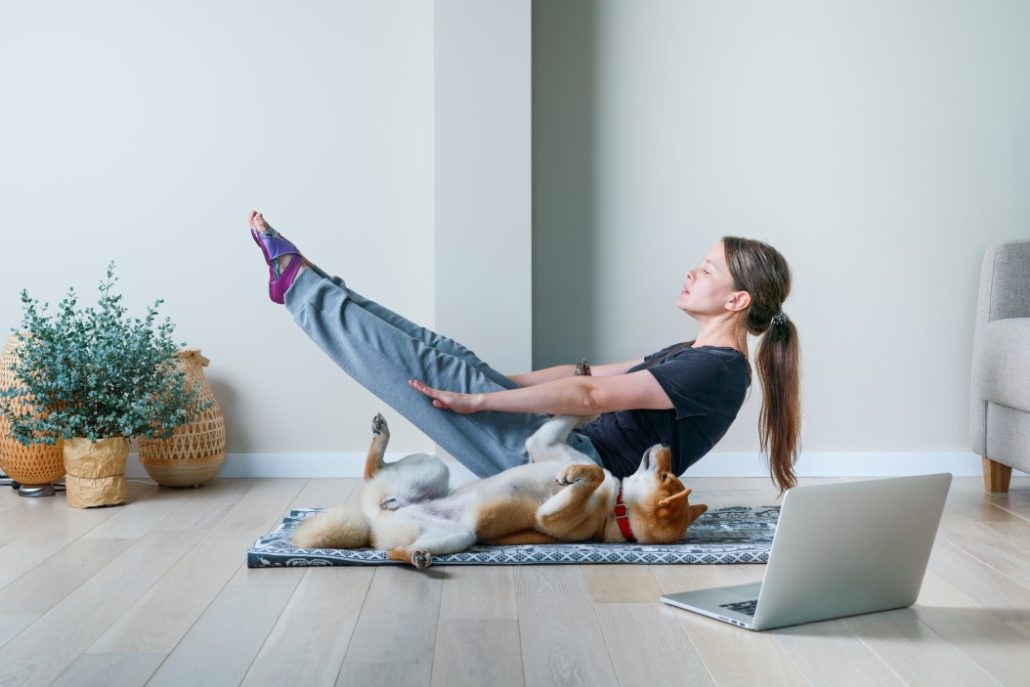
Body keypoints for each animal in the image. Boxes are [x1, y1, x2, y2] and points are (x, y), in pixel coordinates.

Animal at [292, 360, 708, 568]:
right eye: (668, 473)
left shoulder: (552, 517)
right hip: (434, 471)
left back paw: (415, 556)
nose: (666, 441)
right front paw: (581, 375)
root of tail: (372, 524)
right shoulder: (544, 443)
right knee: (373, 474)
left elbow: (592, 473)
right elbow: (576, 421)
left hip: (457, 533)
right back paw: (381, 440)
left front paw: (572, 476)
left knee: (393, 547)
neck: (616, 505)